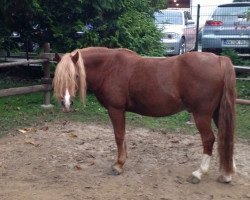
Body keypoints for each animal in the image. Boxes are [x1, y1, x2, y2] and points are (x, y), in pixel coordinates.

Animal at [53, 46, 236, 183]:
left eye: (76, 76)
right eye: (59, 77)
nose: (66, 104)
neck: (109, 67)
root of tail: (219, 60)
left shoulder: (115, 109)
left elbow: (119, 136)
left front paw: (118, 165)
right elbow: (123, 137)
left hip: (202, 114)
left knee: (209, 139)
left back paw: (199, 173)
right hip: (217, 113)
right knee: (225, 137)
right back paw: (227, 174)